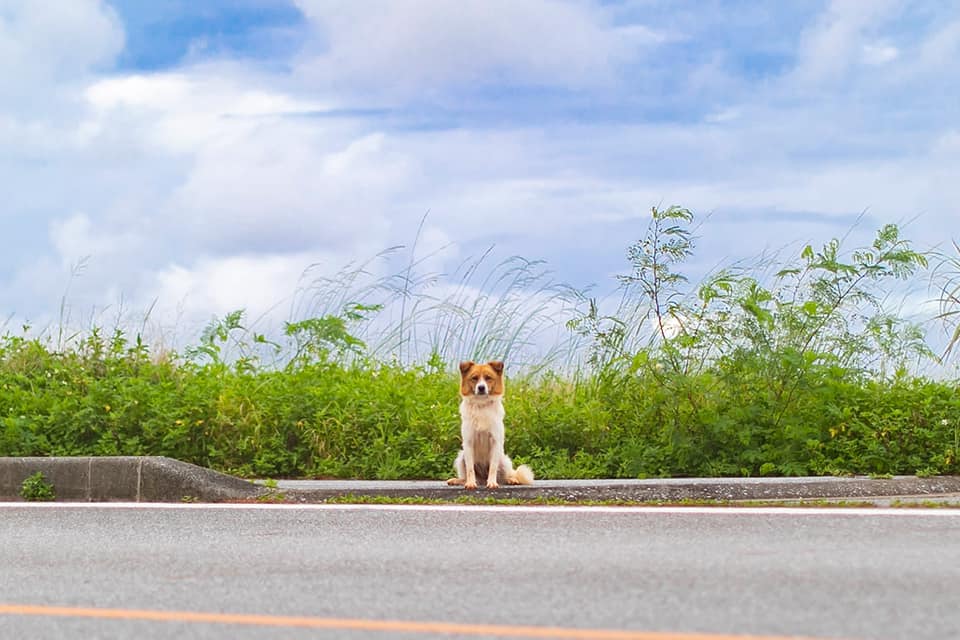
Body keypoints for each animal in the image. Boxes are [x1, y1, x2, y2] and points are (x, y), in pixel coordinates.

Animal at [448, 360, 536, 490]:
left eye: (488, 378)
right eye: (474, 378)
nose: (481, 387)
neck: (481, 405)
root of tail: (482, 480)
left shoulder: (495, 441)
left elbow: (493, 468)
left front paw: (492, 483)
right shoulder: (468, 442)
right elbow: (470, 469)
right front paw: (470, 483)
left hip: (503, 459)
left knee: (504, 477)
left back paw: (511, 480)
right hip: (461, 457)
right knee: (469, 475)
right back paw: (458, 480)